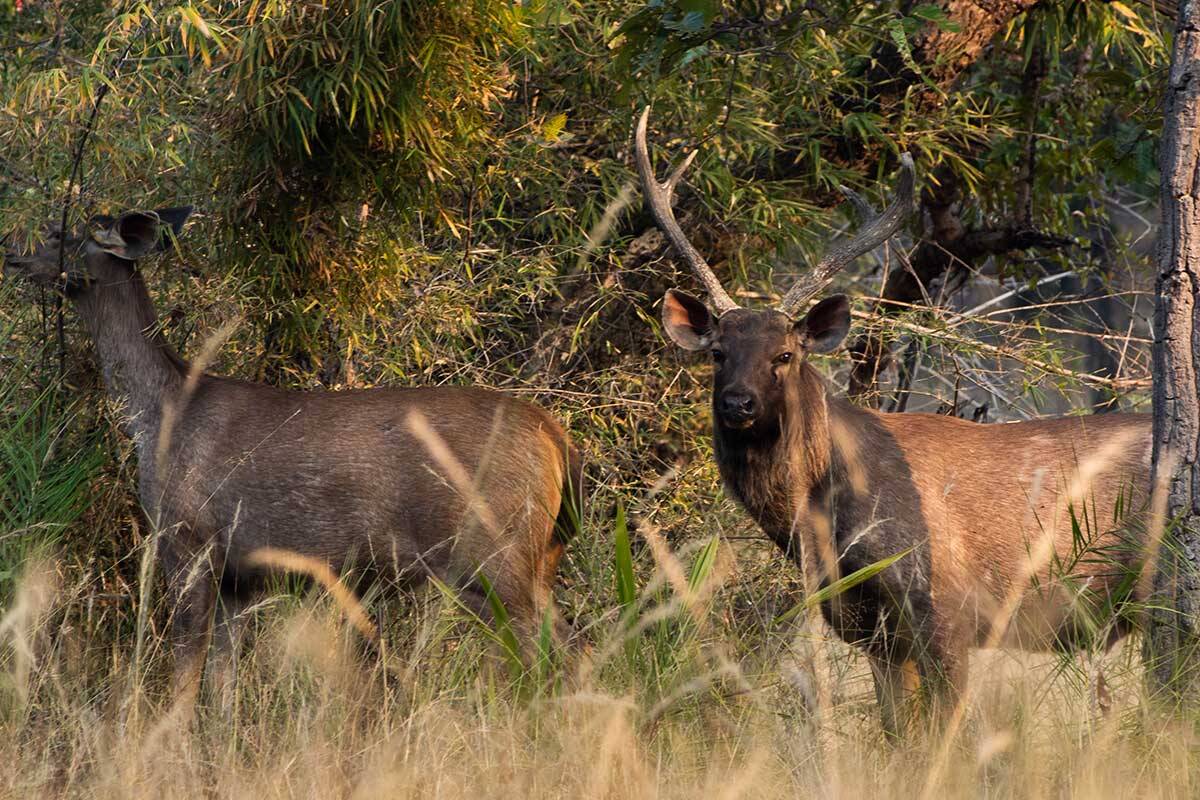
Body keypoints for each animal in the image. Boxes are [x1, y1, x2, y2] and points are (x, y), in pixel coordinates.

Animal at [3, 206, 585, 705]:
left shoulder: (189, 540)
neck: (158, 414)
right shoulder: (240, 576)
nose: (9, 250)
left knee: (550, 649)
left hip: (493, 552)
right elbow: (223, 688)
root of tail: (558, 439)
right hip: (540, 554)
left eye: (58, 232)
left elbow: (184, 681)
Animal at [638, 109, 1152, 734]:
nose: (739, 404)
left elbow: (946, 737)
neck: (828, 519)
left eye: (785, 354)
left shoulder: (947, 611)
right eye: (717, 352)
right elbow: (898, 736)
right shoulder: (874, 634)